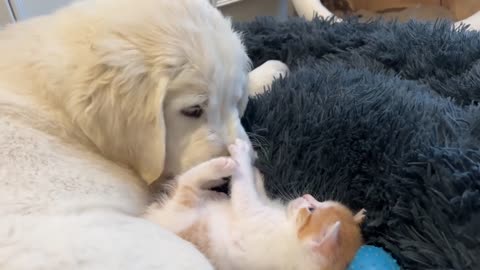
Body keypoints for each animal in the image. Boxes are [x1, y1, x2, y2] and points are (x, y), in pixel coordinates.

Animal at [144, 139, 366, 270]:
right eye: (315, 203)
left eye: (311, 209)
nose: (305, 196)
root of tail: (151, 218)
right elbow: (258, 192)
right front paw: (256, 173)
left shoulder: (253, 216)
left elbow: (245, 193)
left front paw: (242, 156)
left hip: (183, 208)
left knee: (186, 182)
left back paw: (220, 167)